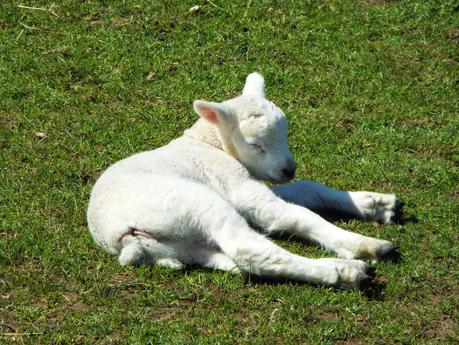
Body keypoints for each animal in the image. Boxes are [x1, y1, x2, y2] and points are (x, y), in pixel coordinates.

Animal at [87, 72, 402, 288]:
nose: (288, 170)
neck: (209, 143)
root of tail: (118, 238)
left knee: (236, 260)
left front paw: (375, 204)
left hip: (182, 244)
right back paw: (345, 271)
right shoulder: (234, 183)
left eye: (286, 133)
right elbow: (297, 215)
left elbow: (308, 190)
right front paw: (362, 244)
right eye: (255, 145)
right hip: (194, 202)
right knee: (248, 249)